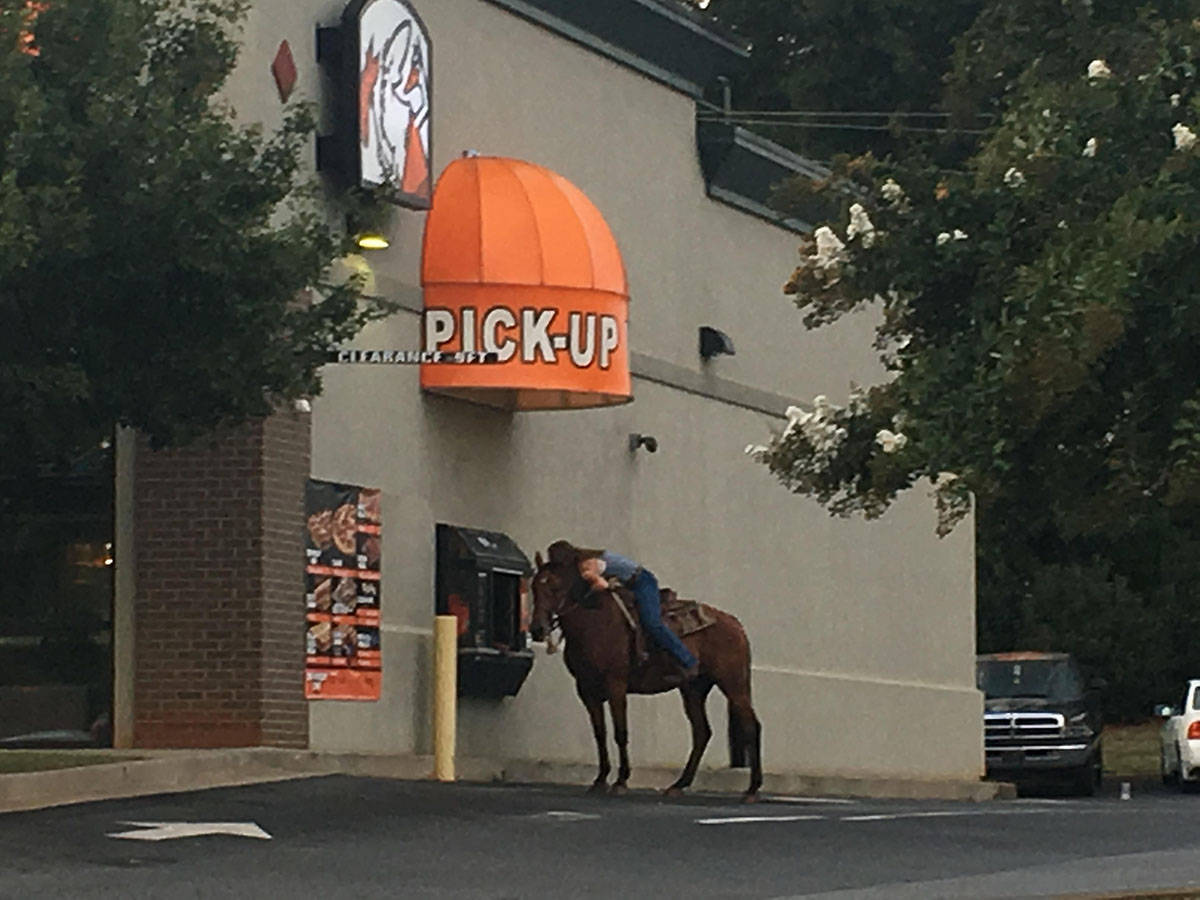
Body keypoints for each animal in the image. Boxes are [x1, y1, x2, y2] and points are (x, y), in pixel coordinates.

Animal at [532, 542, 763, 801]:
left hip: (734, 684)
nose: (537, 629)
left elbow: (620, 732)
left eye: (554, 586)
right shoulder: (586, 689)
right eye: (533, 586)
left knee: (751, 726)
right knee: (701, 732)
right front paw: (600, 780)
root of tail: (736, 624)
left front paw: (621, 781)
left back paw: (752, 789)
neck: (593, 623)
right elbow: (600, 734)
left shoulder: (616, 684)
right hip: (693, 689)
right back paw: (679, 785)